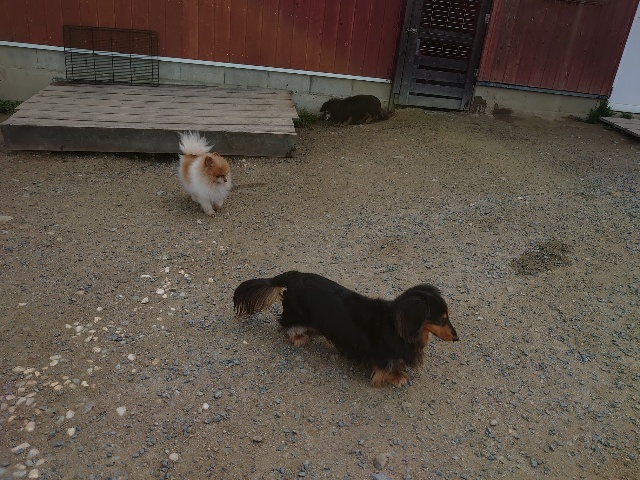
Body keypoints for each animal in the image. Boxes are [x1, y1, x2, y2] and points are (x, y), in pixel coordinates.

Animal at [233, 271, 458, 387]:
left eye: (447, 317)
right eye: (441, 319)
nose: (457, 338)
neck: (395, 326)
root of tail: (295, 275)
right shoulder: (380, 357)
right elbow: (385, 370)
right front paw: (397, 376)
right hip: (296, 314)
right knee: (287, 326)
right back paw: (299, 337)